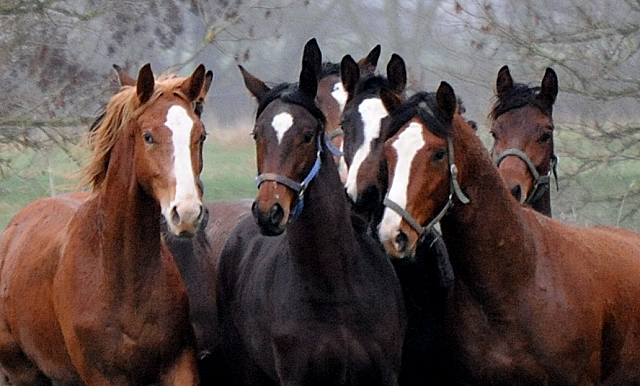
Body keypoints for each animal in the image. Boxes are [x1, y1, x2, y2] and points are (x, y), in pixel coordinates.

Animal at [0, 63, 206, 386]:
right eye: (148, 136)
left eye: (201, 135)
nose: (186, 213)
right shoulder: (103, 376)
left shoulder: (179, 366)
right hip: (24, 373)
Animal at [215, 37, 404, 384]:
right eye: (256, 134)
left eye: (306, 135)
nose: (269, 212)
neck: (333, 289)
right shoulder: (294, 374)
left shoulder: (386, 372)